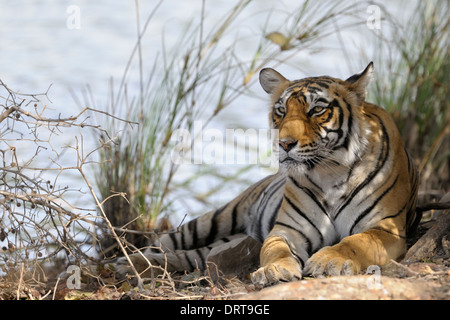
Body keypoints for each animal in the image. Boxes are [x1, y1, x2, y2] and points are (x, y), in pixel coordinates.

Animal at [115, 62, 418, 288]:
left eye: (317, 109)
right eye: (281, 111)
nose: (284, 144)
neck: (330, 171)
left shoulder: (386, 227)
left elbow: (356, 242)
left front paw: (328, 261)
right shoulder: (288, 229)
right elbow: (274, 249)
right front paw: (275, 270)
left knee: (193, 255)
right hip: (215, 219)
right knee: (163, 244)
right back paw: (129, 263)